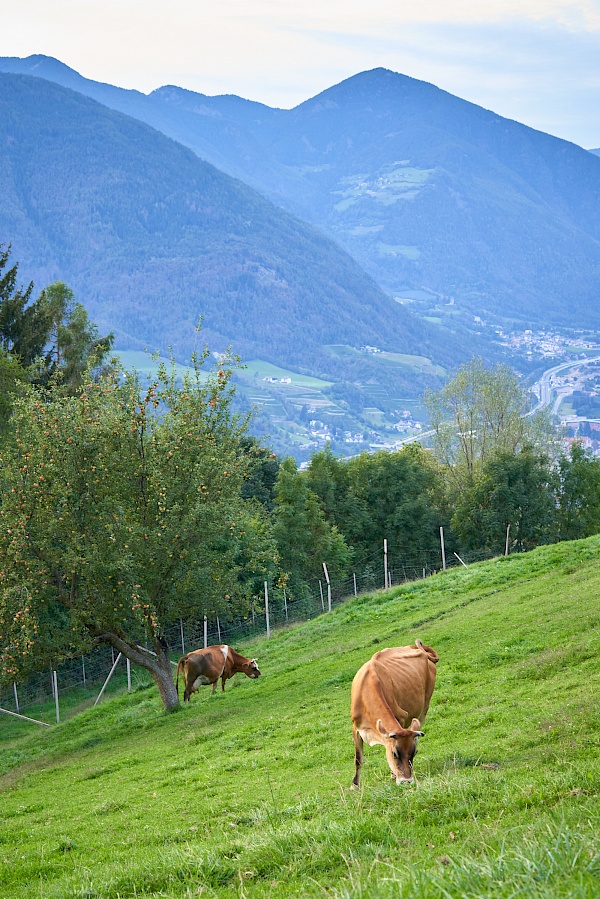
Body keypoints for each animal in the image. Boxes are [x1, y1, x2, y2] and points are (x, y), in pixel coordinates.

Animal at [350, 640, 438, 788]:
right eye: (394, 753)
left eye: (414, 752)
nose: (406, 781)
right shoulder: (356, 727)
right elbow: (358, 758)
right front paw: (354, 785)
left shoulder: (400, 718)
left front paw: (393, 775)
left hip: (425, 705)